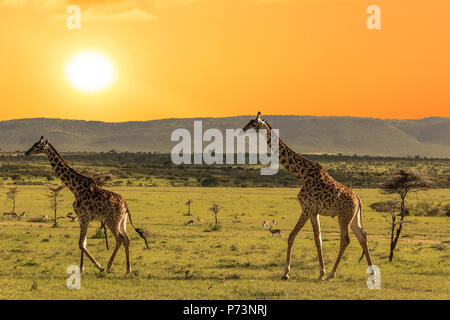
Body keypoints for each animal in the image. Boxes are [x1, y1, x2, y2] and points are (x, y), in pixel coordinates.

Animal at [25, 136, 149, 274]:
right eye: (34, 144)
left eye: (37, 146)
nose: (26, 152)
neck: (75, 188)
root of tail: (126, 205)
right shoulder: (81, 217)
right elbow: (83, 243)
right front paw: (81, 268)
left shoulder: (84, 216)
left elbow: (80, 243)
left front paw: (98, 266)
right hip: (122, 220)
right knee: (127, 239)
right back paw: (128, 269)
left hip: (111, 220)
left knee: (120, 239)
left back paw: (108, 267)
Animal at [243, 112, 372, 280]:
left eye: (254, 122)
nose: (244, 128)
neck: (301, 174)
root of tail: (358, 200)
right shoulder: (313, 211)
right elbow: (318, 239)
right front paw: (321, 272)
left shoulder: (306, 208)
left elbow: (291, 236)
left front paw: (286, 273)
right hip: (354, 217)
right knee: (363, 237)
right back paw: (372, 272)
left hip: (343, 216)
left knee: (346, 240)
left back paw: (333, 274)